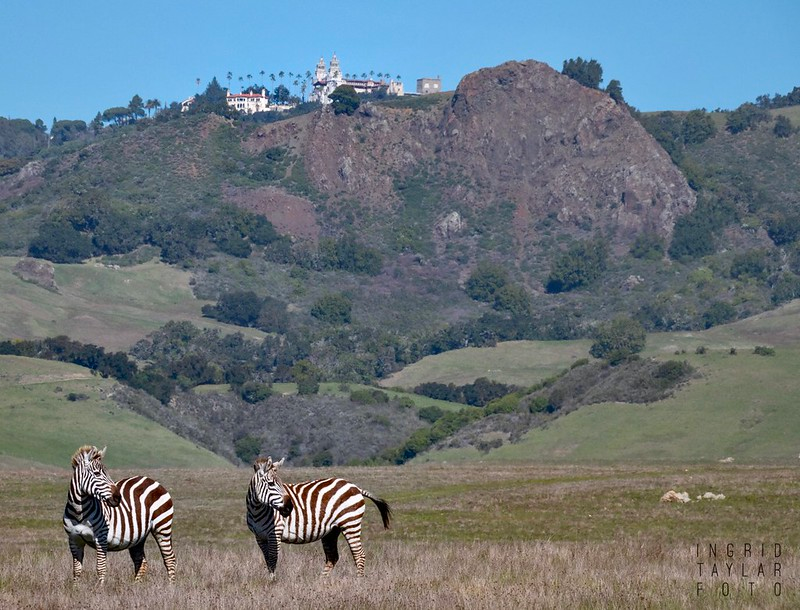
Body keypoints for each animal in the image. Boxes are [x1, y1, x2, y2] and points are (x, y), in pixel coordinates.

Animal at [62, 445, 176, 584]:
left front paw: (100, 588)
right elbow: (77, 569)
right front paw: (75, 587)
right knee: (141, 561)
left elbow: (100, 567)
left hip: (162, 527)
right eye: (97, 473)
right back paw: (135, 586)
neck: (79, 512)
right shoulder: (74, 539)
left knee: (169, 559)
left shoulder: (101, 538)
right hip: (138, 536)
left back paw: (171, 586)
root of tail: (151, 480)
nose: (118, 498)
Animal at [246, 456, 392, 578]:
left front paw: (272, 583)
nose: (289, 507)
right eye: (271, 484)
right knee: (333, 557)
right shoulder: (260, 537)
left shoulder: (275, 533)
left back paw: (358, 581)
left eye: (281, 484)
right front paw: (270, 580)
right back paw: (321, 582)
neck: (256, 509)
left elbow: (272, 560)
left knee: (359, 555)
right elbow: (268, 561)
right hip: (331, 531)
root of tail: (355, 487)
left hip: (350, 523)